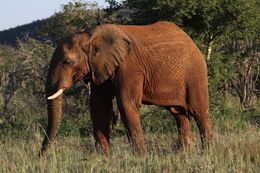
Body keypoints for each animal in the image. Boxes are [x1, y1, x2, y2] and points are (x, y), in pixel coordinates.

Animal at [39, 21, 212, 157]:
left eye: (67, 62)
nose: (40, 157)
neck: (88, 36)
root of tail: (191, 41)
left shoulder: (129, 67)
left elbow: (126, 104)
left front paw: (141, 159)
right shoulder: (99, 69)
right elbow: (98, 107)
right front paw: (102, 159)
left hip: (195, 74)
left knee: (198, 111)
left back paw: (207, 153)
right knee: (178, 114)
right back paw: (184, 154)